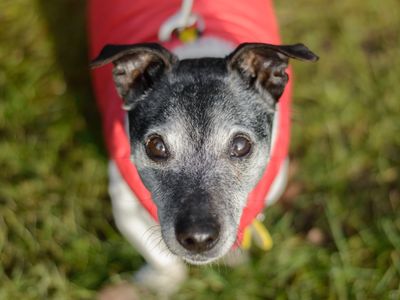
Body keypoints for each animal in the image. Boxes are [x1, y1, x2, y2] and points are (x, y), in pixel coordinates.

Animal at [88, 0, 318, 294]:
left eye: (241, 145)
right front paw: (164, 281)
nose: (198, 238)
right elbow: (159, 255)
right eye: (156, 146)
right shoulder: (123, 202)